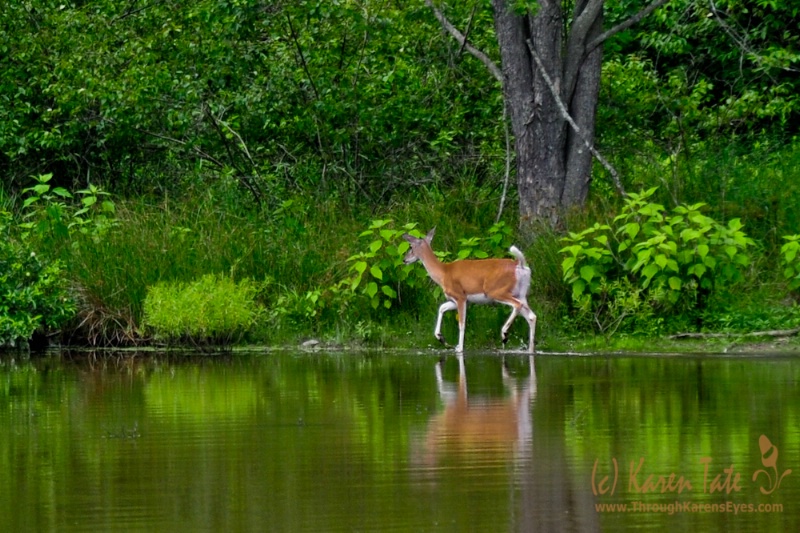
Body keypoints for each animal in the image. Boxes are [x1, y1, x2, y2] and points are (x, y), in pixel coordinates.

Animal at [400, 227, 536, 352]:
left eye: (411, 247)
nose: (404, 260)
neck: (443, 273)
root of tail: (519, 265)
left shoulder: (460, 296)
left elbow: (461, 323)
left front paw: (459, 348)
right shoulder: (458, 299)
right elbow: (442, 308)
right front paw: (441, 338)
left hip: (496, 291)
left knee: (517, 305)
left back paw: (504, 335)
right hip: (521, 293)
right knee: (532, 316)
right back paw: (530, 349)